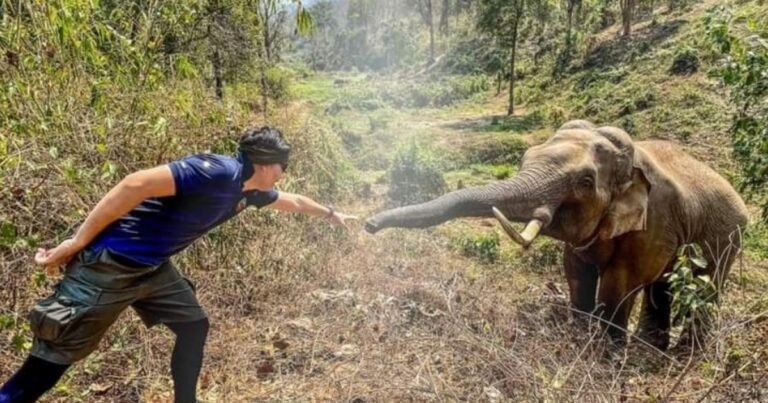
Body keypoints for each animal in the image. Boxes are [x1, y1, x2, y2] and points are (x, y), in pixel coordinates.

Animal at [365, 120, 748, 350]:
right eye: (525, 158)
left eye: (585, 182)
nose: (368, 225)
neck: (630, 159)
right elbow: (576, 270)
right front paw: (579, 334)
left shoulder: (654, 221)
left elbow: (622, 281)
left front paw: (606, 353)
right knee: (663, 286)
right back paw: (652, 348)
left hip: (728, 236)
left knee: (705, 286)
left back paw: (681, 353)